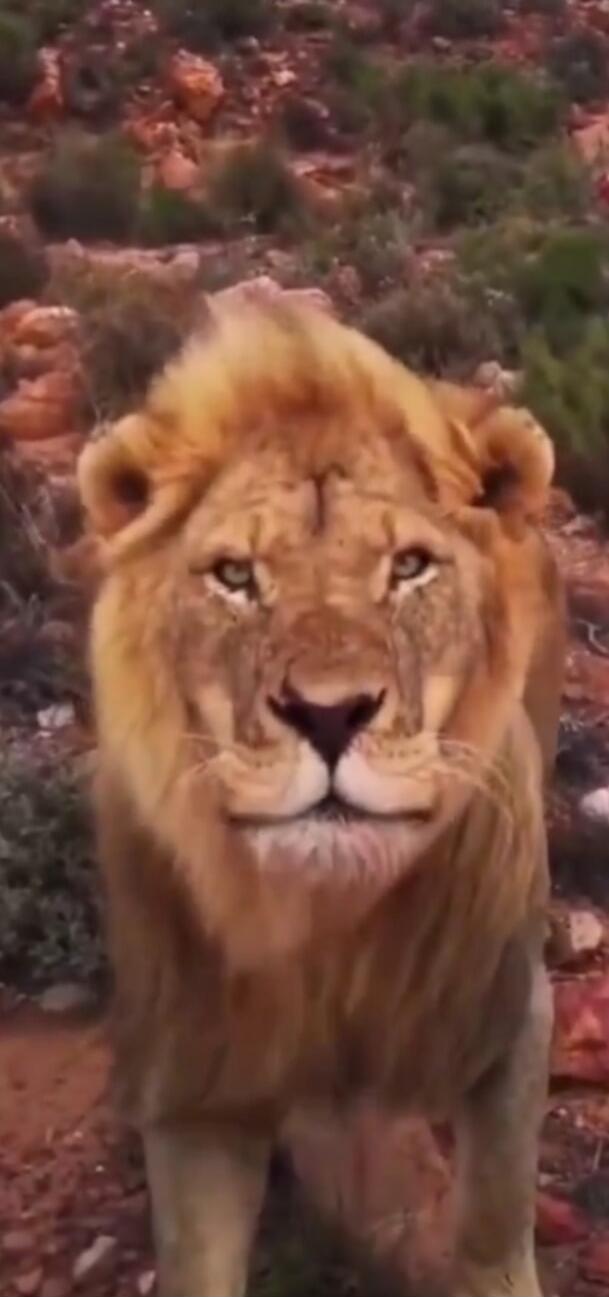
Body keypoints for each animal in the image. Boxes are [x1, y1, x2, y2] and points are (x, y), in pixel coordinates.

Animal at [78, 296, 565, 1297]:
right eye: (234, 576)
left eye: (410, 566)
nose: (329, 714)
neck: (329, 926)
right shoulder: (195, 1079)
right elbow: (195, 1258)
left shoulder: (507, 1019)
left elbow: (492, 1223)